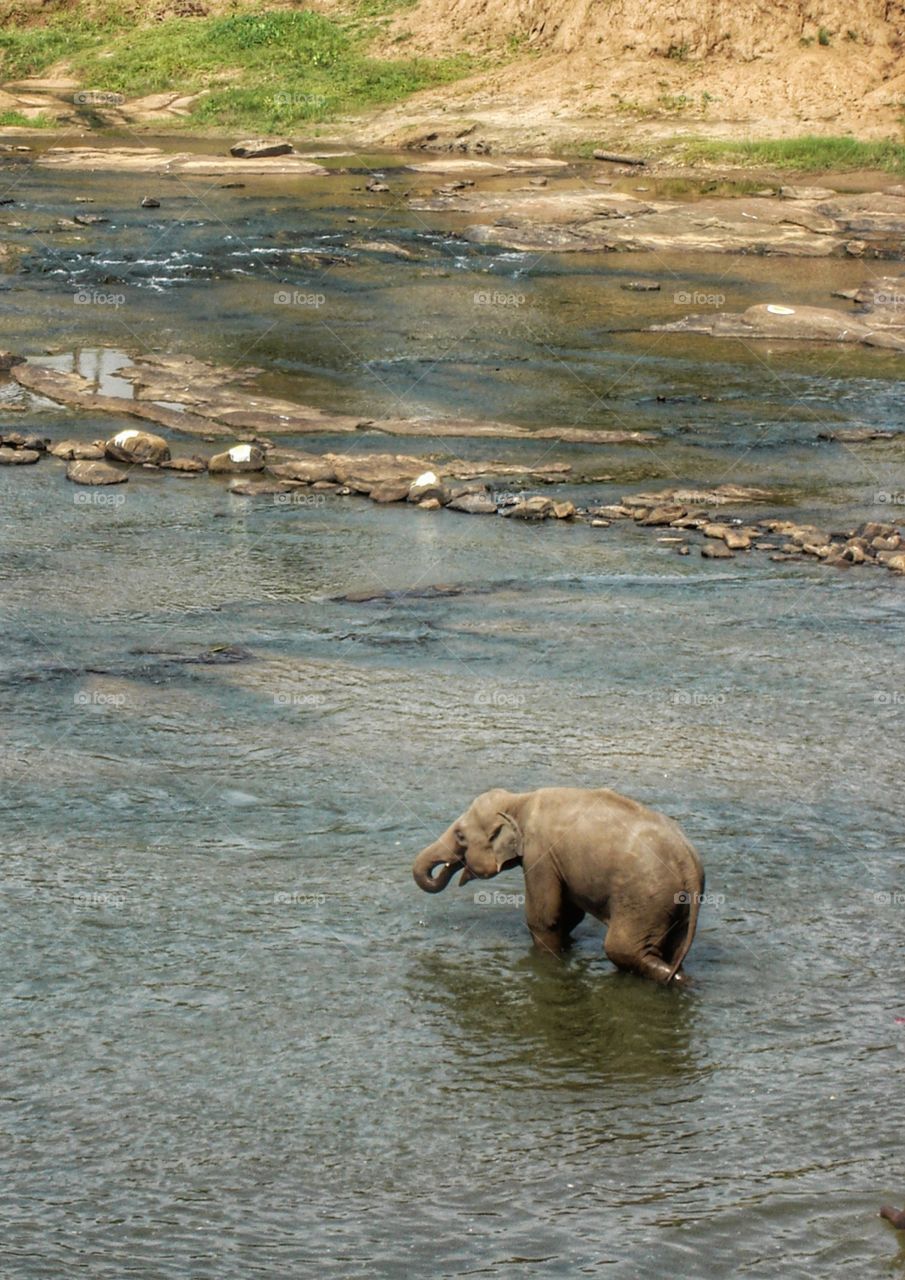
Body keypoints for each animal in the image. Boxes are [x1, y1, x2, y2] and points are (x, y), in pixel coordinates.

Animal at [412, 786, 705, 985]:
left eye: (460, 835)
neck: (520, 800)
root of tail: (689, 863)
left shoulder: (540, 854)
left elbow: (545, 918)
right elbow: (570, 915)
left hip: (644, 899)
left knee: (622, 949)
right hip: (675, 907)